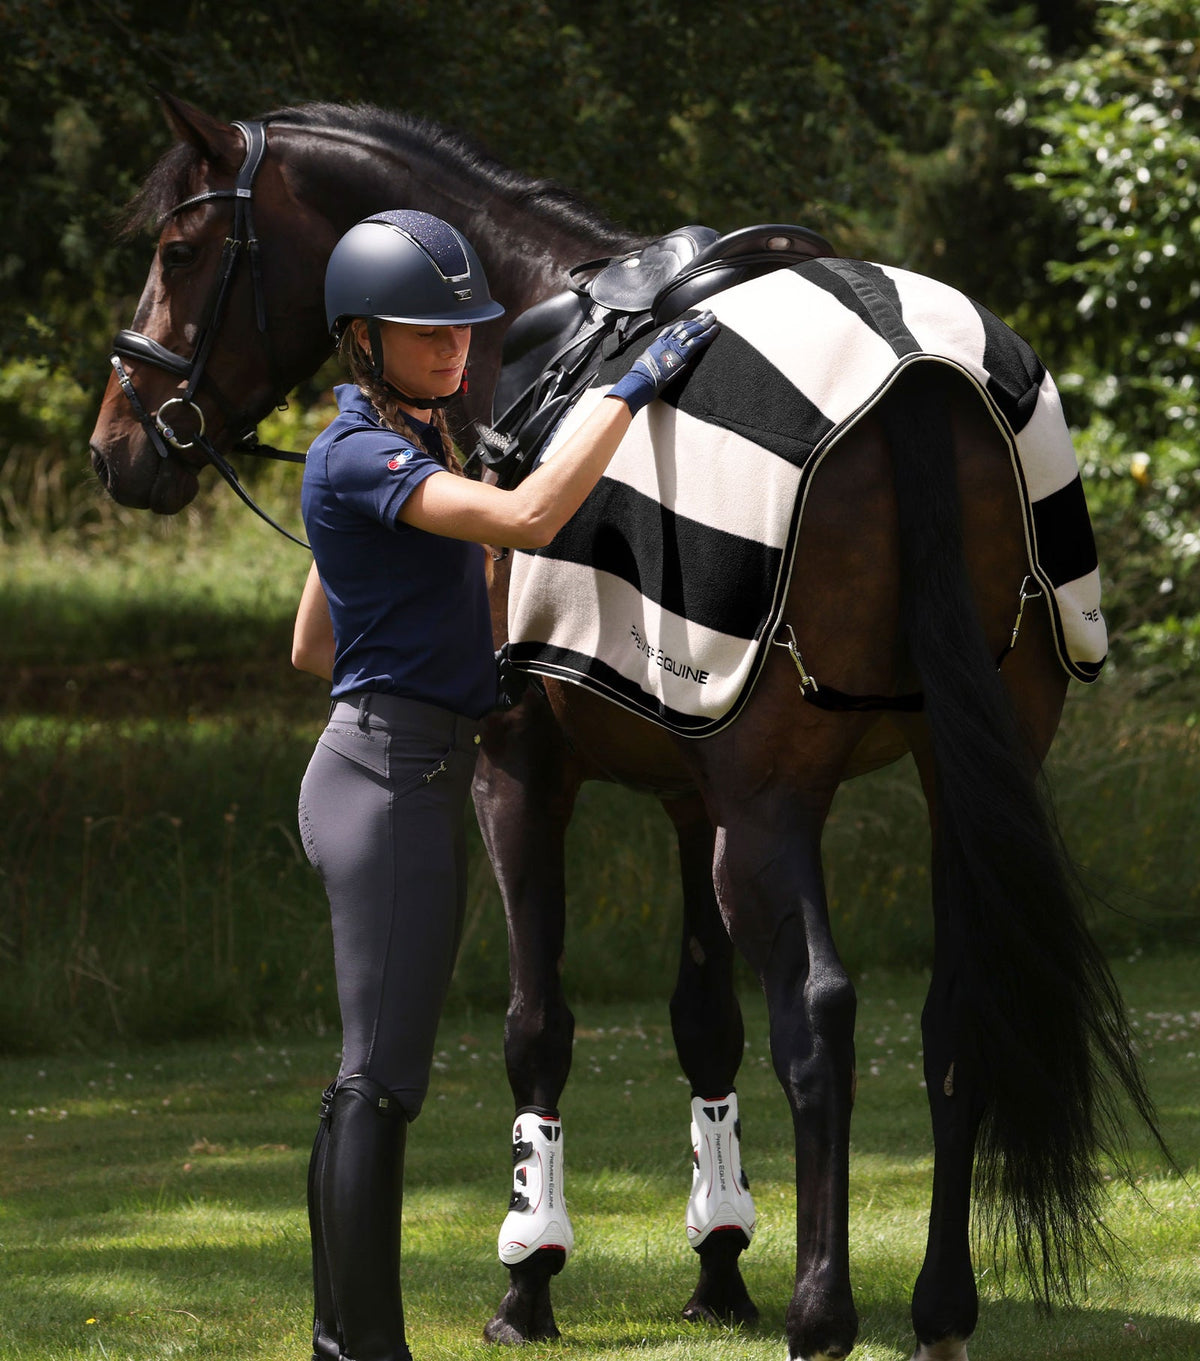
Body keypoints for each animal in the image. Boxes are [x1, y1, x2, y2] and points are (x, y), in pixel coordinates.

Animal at [89, 95, 1160, 1361]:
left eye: (179, 251)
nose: (117, 443)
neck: (529, 324)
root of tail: (921, 376)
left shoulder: (522, 773)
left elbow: (537, 1025)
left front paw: (529, 1278)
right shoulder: (693, 793)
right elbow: (705, 1022)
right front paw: (720, 1264)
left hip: (772, 809)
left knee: (820, 1014)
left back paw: (823, 1308)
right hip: (956, 772)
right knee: (955, 1013)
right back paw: (939, 1307)